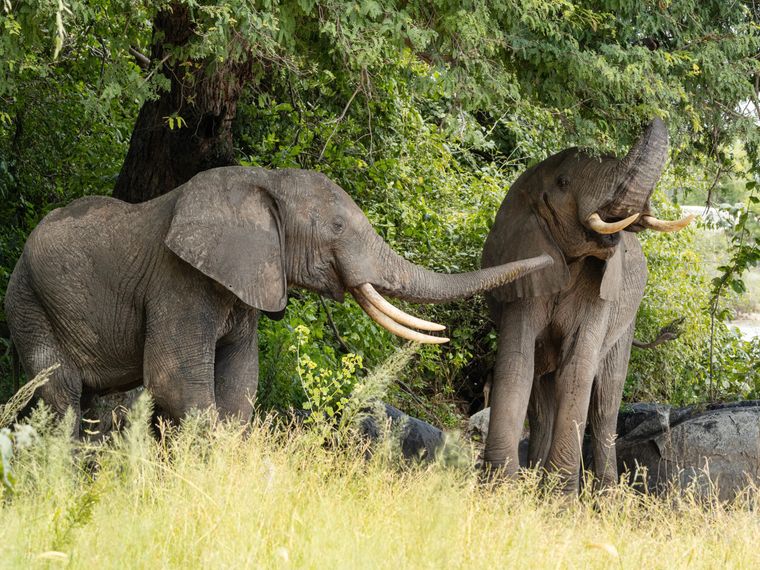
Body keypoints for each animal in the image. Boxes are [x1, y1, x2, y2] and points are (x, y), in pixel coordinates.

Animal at [4, 166, 552, 435]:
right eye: (336, 227)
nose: (551, 260)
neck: (263, 178)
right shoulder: (179, 281)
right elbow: (174, 380)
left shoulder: (244, 280)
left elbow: (240, 381)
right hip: (28, 301)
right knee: (60, 394)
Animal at [480, 119, 694, 493]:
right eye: (564, 183)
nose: (650, 117)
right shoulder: (524, 273)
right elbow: (517, 363)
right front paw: (503, 490)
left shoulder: (602, 291)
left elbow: (578, 370)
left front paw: (558, 499)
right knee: (542, 401)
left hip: (626, 323)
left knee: (606, 403)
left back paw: (606, 497)